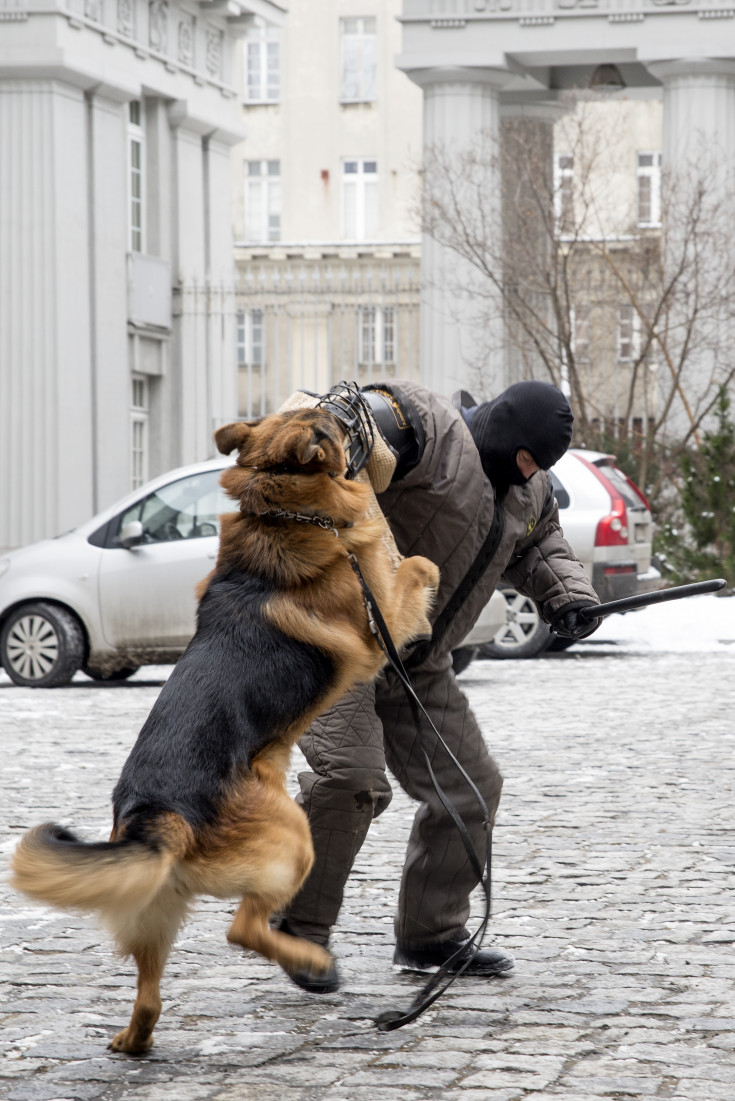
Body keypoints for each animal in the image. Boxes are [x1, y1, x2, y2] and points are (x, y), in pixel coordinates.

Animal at [11, 409, 440, 1052]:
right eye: (329, 421)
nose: (355, 404)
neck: (281, 512)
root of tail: (160, 814)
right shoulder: (378, 621)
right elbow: (415, 567)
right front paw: (423, 568)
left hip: (153, 906)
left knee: (150, 992)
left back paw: (135, 1040)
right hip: (294, 837)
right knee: (242, 929)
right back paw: (314, 967)